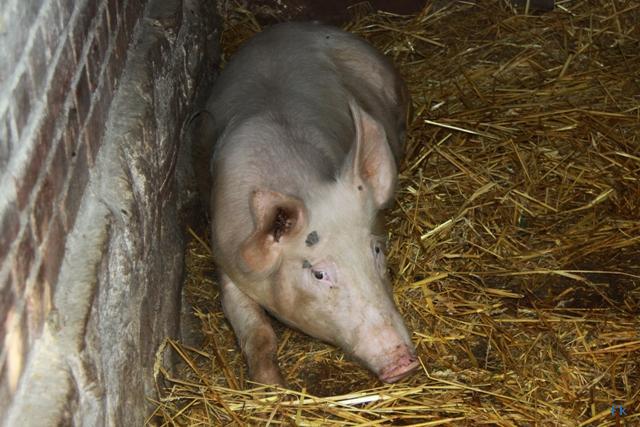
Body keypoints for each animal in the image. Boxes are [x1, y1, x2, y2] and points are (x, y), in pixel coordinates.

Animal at [194, 22, 418, 386]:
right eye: (319, 274)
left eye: (376, 250)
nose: (404, 363)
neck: (297, 179)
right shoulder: (226, 259)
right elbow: (257, 333)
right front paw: (272, 387)